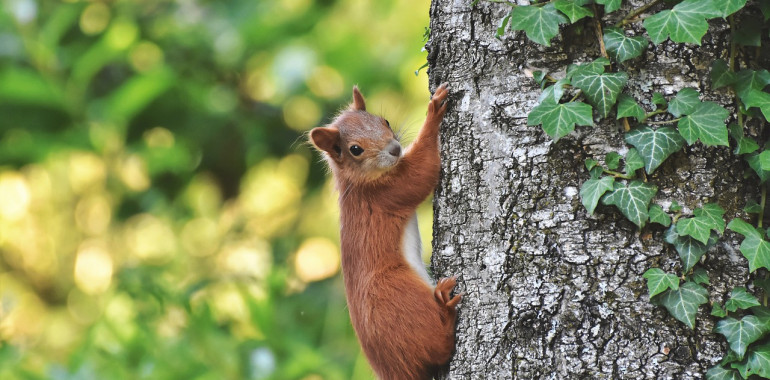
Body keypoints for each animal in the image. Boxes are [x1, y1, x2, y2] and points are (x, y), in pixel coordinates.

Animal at [308, 84, 462, 380]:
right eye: (355, 149)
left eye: (385, 121)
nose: (395, 148)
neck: (359, 182)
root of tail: (394, 371)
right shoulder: (386, 193)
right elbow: (421, 173)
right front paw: (433, 112)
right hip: (399, 294)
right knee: (440, 347)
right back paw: (446, 311)